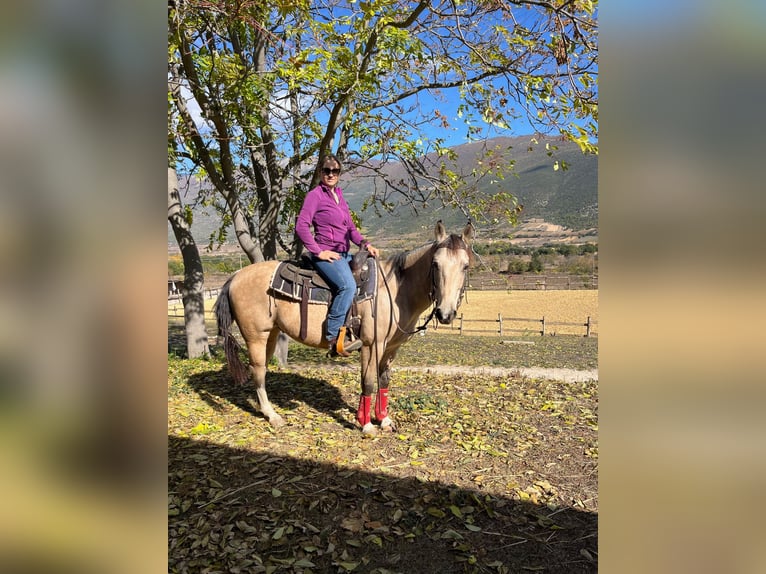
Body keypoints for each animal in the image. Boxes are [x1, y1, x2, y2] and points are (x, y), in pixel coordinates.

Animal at [214, 221, 475, 435]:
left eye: (465, 266)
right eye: (435, 264)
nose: (445, 314)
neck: (394, 290)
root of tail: (235, 276)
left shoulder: (391, 349)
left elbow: (384, 381)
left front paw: (384, 420)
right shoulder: (371, 344)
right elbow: (368, 381)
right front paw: (366, 424)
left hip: (271, 334)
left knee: (261, 369)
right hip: (256, 336)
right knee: (257, 370)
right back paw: (273, 415)